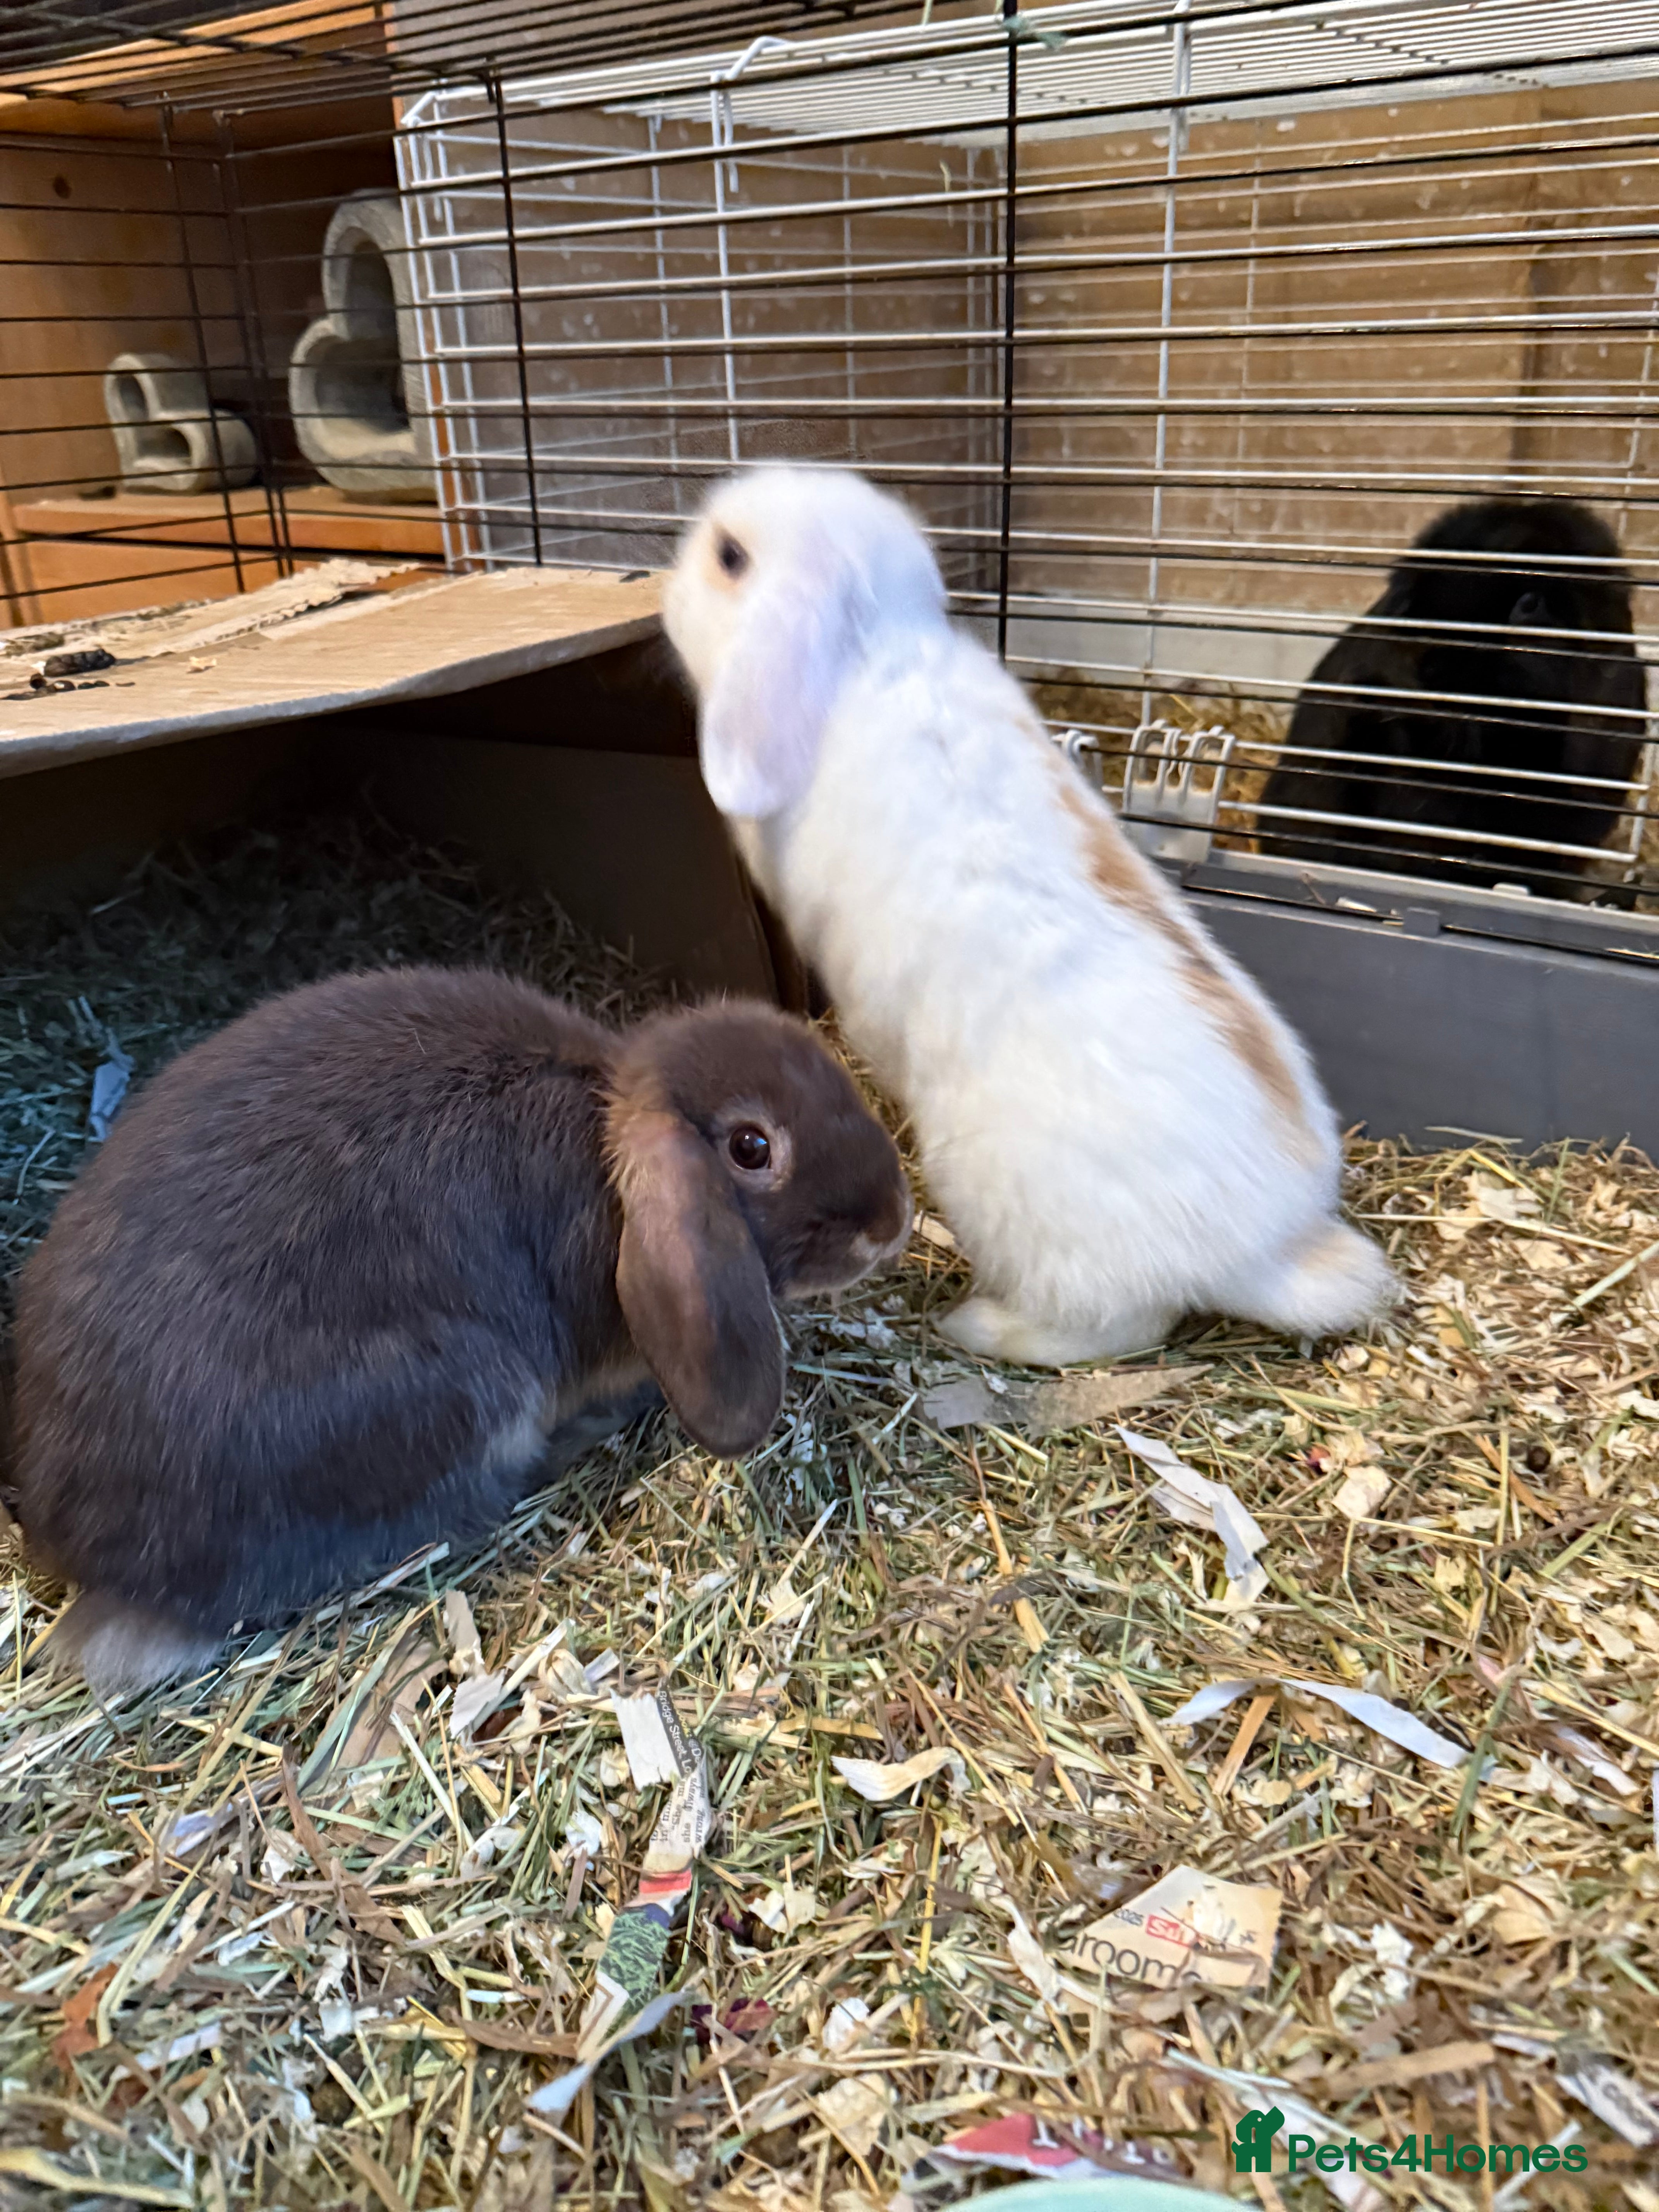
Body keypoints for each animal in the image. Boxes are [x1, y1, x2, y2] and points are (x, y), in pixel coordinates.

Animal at [663, 464, 1396, 1371]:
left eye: (729, 556)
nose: (662, 585)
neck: (873, 647)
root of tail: (1263, 1249)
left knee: (1119, 1326)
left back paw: (978, 1326)